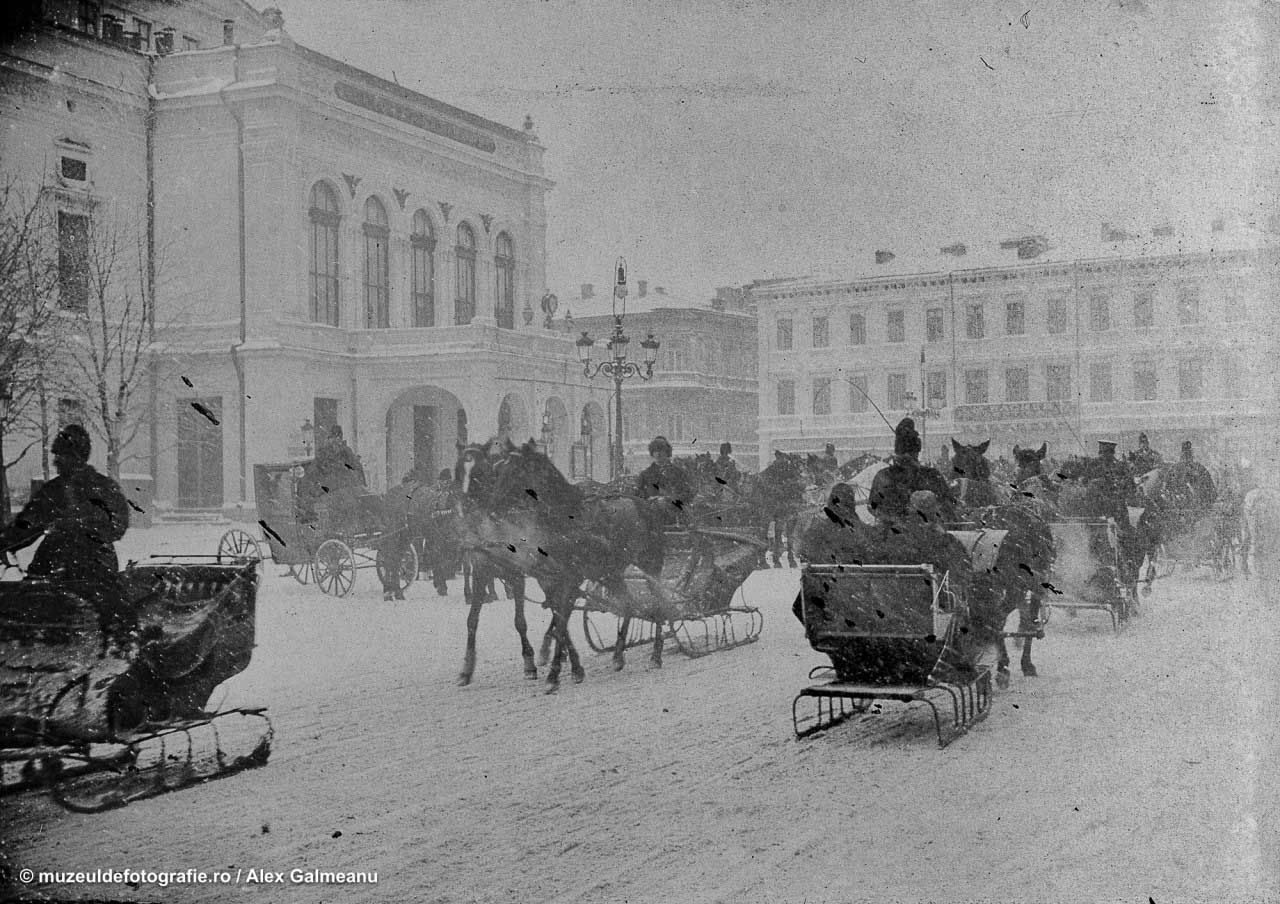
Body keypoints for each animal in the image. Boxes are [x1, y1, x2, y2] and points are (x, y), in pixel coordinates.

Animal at [947, 437, 1054, 681]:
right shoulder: (1036, 582)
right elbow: (1029, 619)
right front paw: (1026, 663)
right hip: (1014, 584)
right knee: (997, 618)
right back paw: (1002, 666)